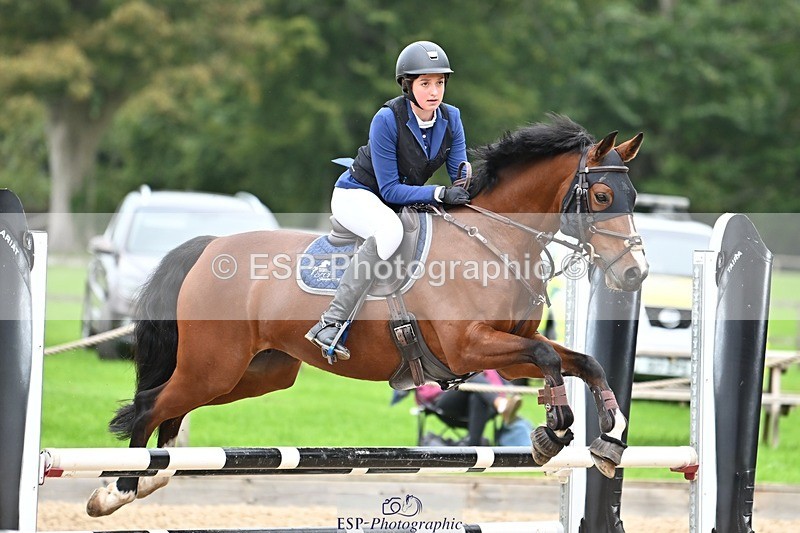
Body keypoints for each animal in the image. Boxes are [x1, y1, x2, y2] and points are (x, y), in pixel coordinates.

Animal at [86, 115, 647, 516]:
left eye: (633, 196)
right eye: (601, 196)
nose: (635, 273)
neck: (496, 240)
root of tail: (209, 247)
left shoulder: (504, 358)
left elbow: (582, 362)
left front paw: (608, 439)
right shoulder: (470, 346)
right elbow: (548, 359)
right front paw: (555, 431)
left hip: (256, 372)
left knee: (172, 407)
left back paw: (156, 474)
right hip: (215, 366)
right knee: (151, 404)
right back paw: (117, 489)